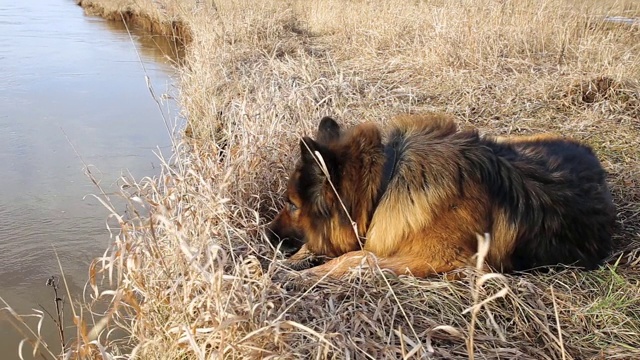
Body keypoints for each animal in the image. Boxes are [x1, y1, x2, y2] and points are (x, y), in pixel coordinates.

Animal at [266, 114, 616, 280]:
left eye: (292, 204)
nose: (266, 235)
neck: (388, 181)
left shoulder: (436, 260)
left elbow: (357, 257)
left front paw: (307, 273)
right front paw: (292, 261)